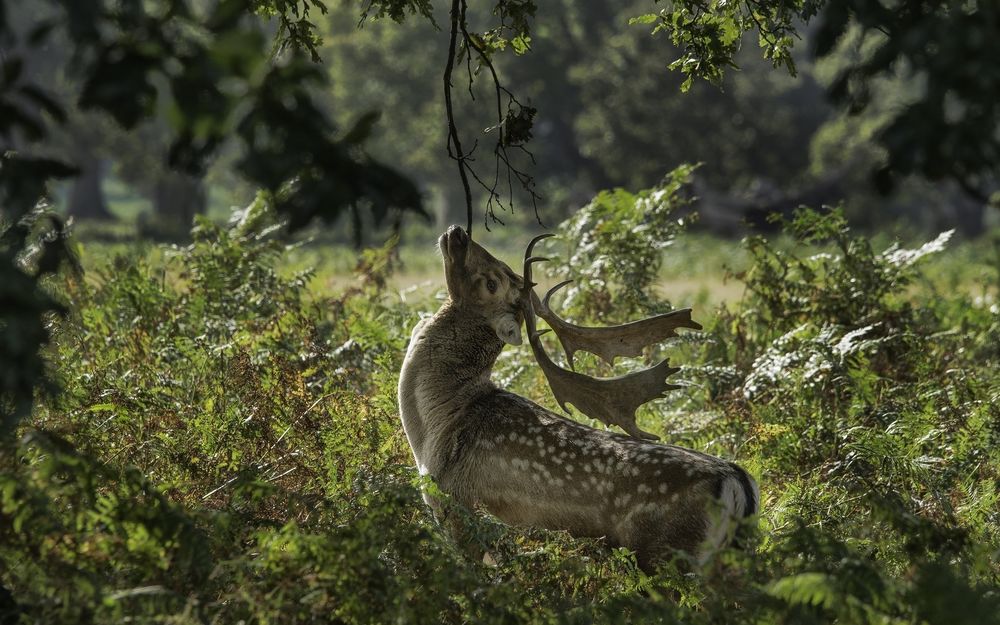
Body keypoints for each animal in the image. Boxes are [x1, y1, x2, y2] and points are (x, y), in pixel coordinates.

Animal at [397, 225, 758, 571]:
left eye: (491, 283)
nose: (459, 233)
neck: (436, 425)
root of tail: (737, 480)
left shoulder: (460, 508)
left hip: (667, 554)